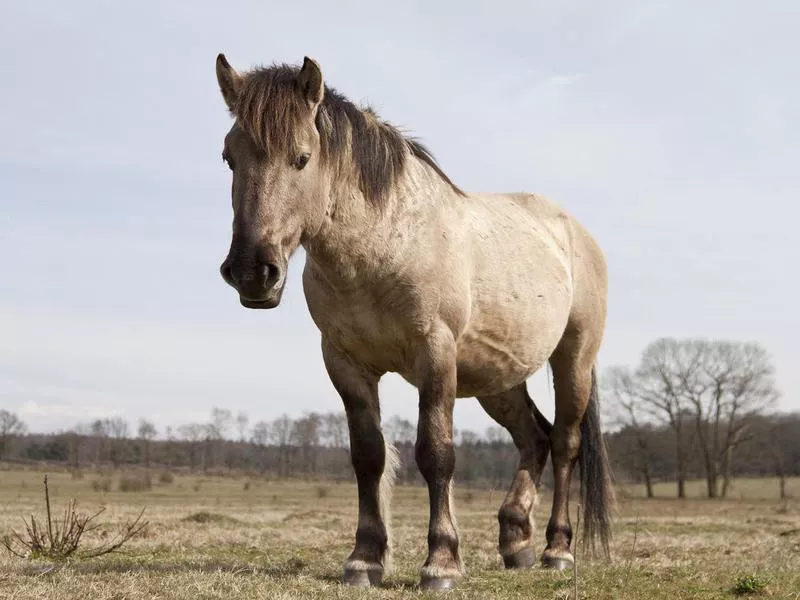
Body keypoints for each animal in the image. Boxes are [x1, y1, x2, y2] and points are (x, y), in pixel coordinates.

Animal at [212, 52, 612, 592]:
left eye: (301, 158)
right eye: (229, 158)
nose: (253, 272)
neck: (382, 246)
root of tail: (574, 232)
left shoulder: (435, 355)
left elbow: (435, 453)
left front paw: (441, 562)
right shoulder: (345, 363)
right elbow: (368, 457)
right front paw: (364, 560)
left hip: (574, 358)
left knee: (566, 444)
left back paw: (557, 549)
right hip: (497, 378)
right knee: (535, 439)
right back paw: (515, 541)